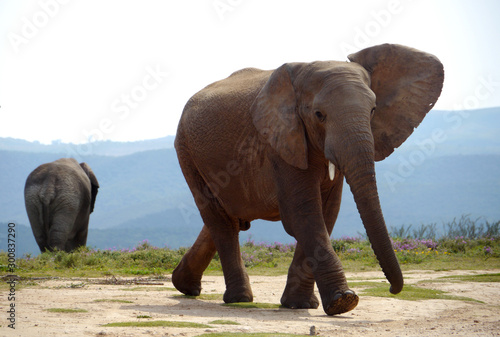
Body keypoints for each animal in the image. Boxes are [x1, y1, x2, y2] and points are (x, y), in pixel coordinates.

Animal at [173, 43, 446, 314]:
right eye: (319, 114)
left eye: (373, 110)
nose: (392, 289)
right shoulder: (281, 142)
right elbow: (304, 214)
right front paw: (343, 301)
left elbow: (326, 212)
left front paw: (300, 305)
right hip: (187, 151)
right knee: (222, 222)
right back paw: (238, 299)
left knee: (230, 217)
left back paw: (185, 285)